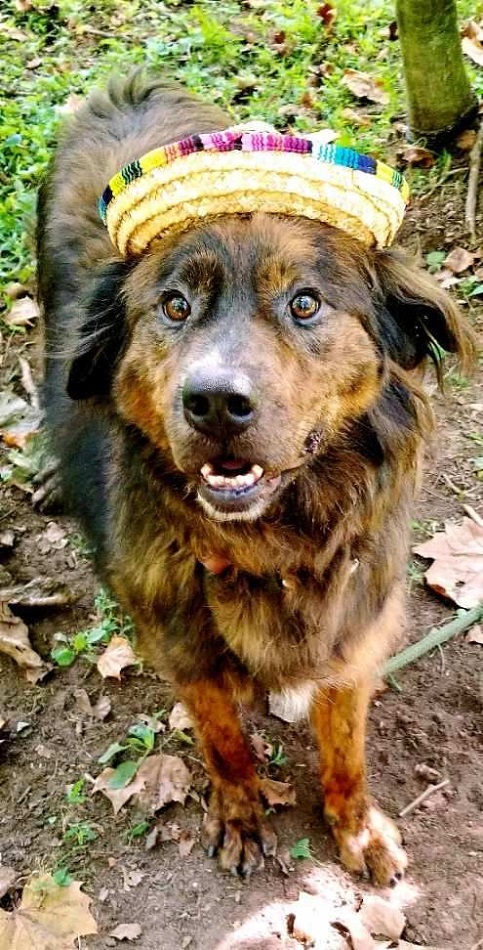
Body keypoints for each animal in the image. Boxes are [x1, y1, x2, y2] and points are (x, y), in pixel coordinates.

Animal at [36, 72, 474, 884]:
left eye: (304, 303)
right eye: (174, 306)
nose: (213, 403)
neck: (273, 547)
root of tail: (129, 90)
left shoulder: (352, 641)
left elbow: (346, 754)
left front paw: (356, 829)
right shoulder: (186, 654)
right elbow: (226, 745)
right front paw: (240, 817)